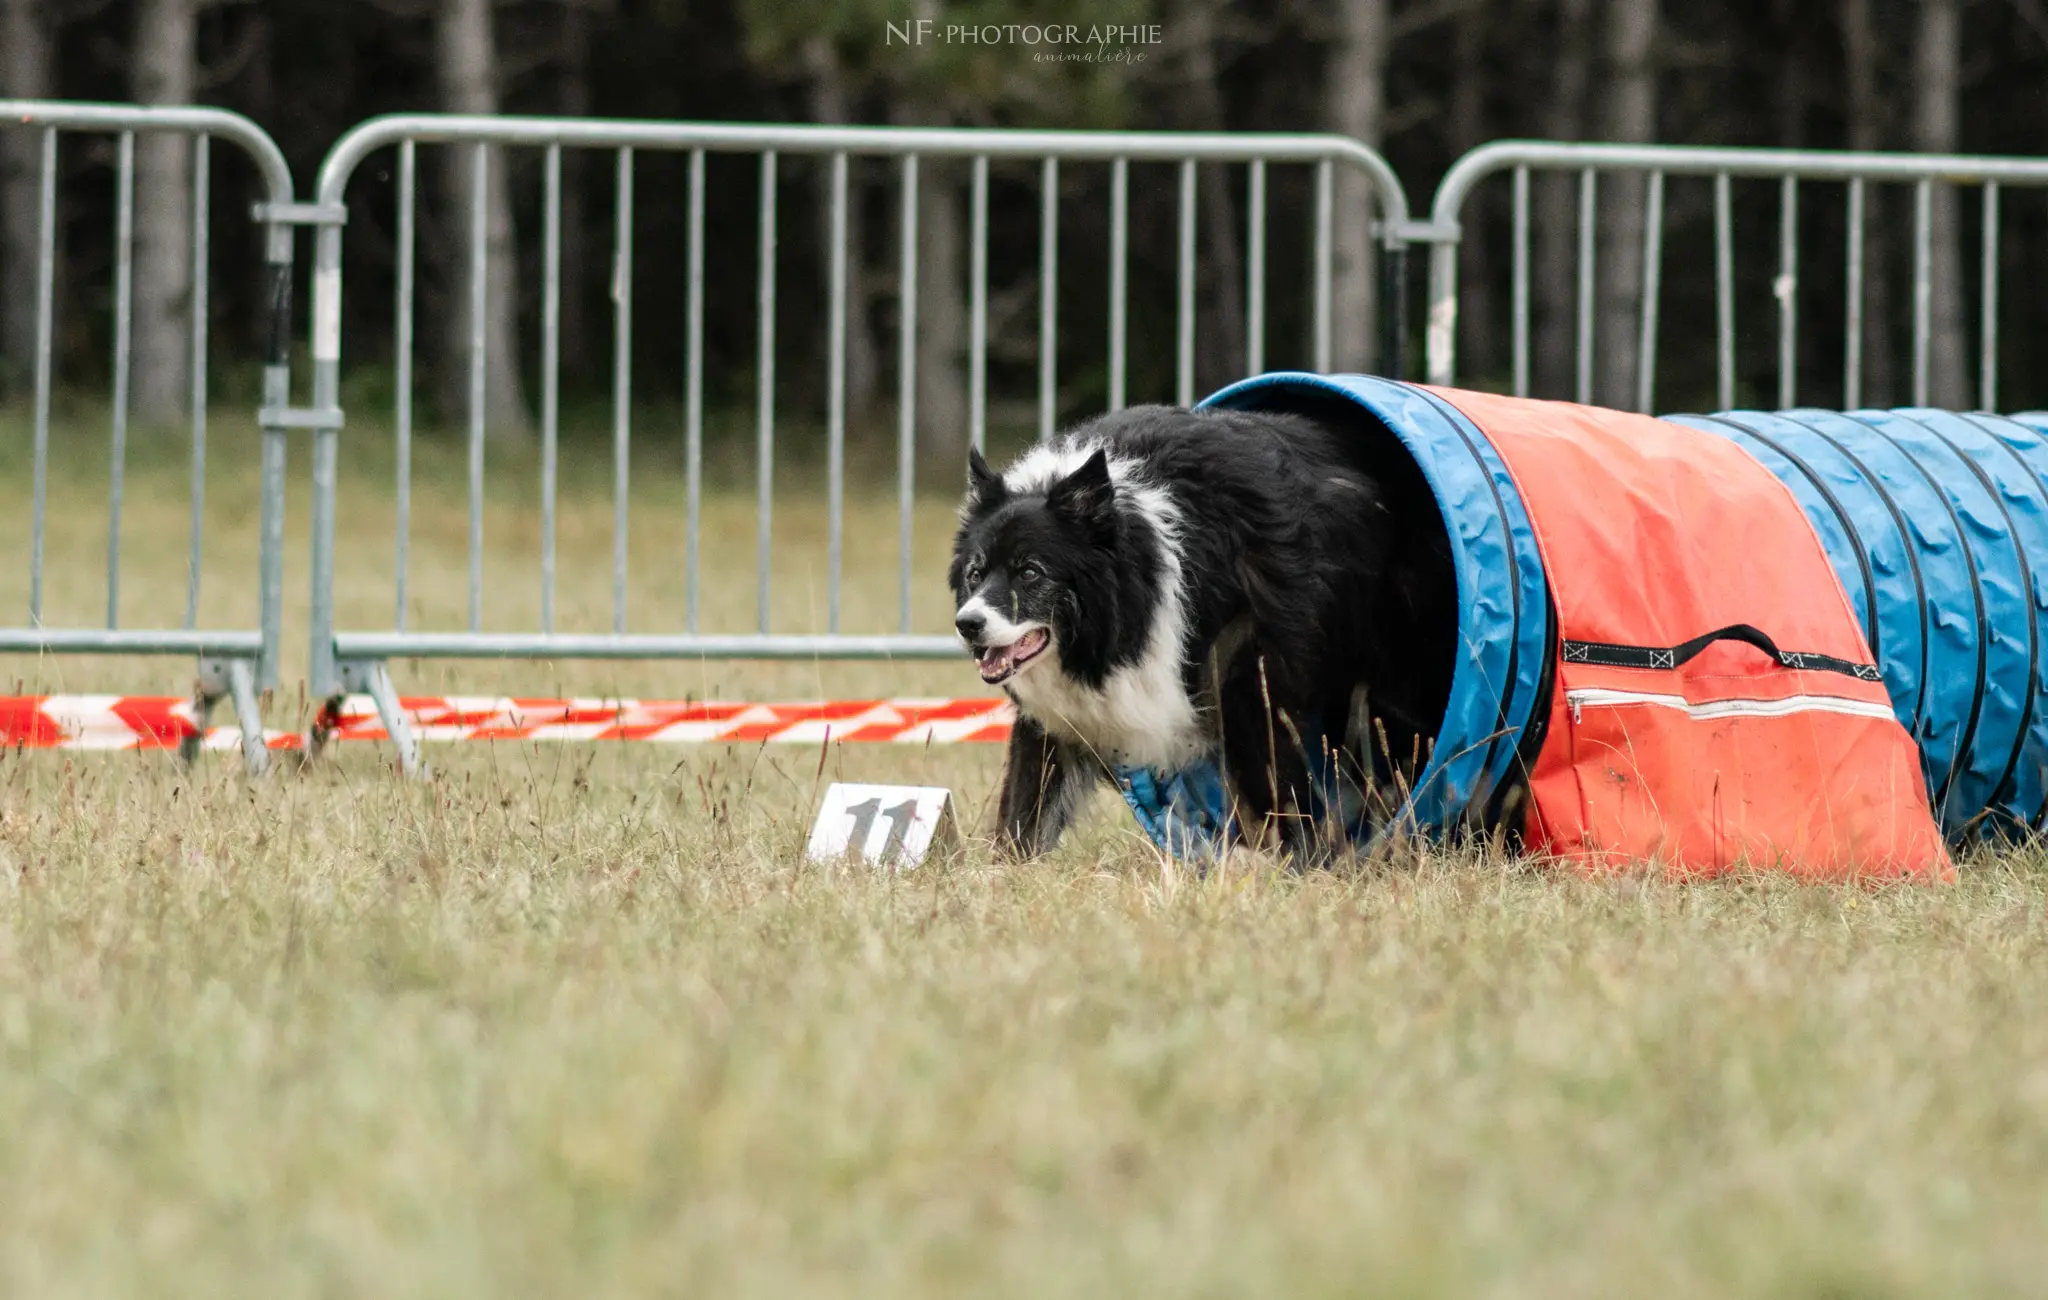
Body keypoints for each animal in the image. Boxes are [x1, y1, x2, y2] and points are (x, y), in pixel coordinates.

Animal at [950, 401, 1466, 859]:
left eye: (1030, 572)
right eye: (976, 573)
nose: (967, 625)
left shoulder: (1257, 689)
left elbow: (1277, 794)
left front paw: (1290, 869)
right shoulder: (1054, 717)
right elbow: (1023, 812)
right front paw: (1004, 875)